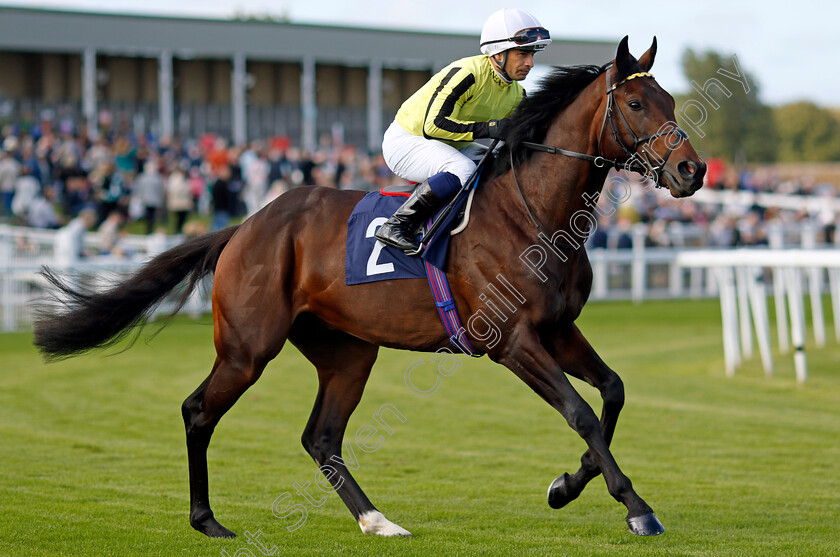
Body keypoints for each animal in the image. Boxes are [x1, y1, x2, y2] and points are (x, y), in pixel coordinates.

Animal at [31, 38, 704, 540]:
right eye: (636, 103)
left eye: (669, 99)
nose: (692, 170)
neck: (531, 212)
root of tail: (246, 226)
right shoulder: (512, 341)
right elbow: (581, 412)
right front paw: (635, 507)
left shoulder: (558, 329)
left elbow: (612, 393)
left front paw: (565, 486)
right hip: (248, 347)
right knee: (200, 411)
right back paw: (207, 520)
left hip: (348, 350)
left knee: (321, 436)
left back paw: (377, 520)